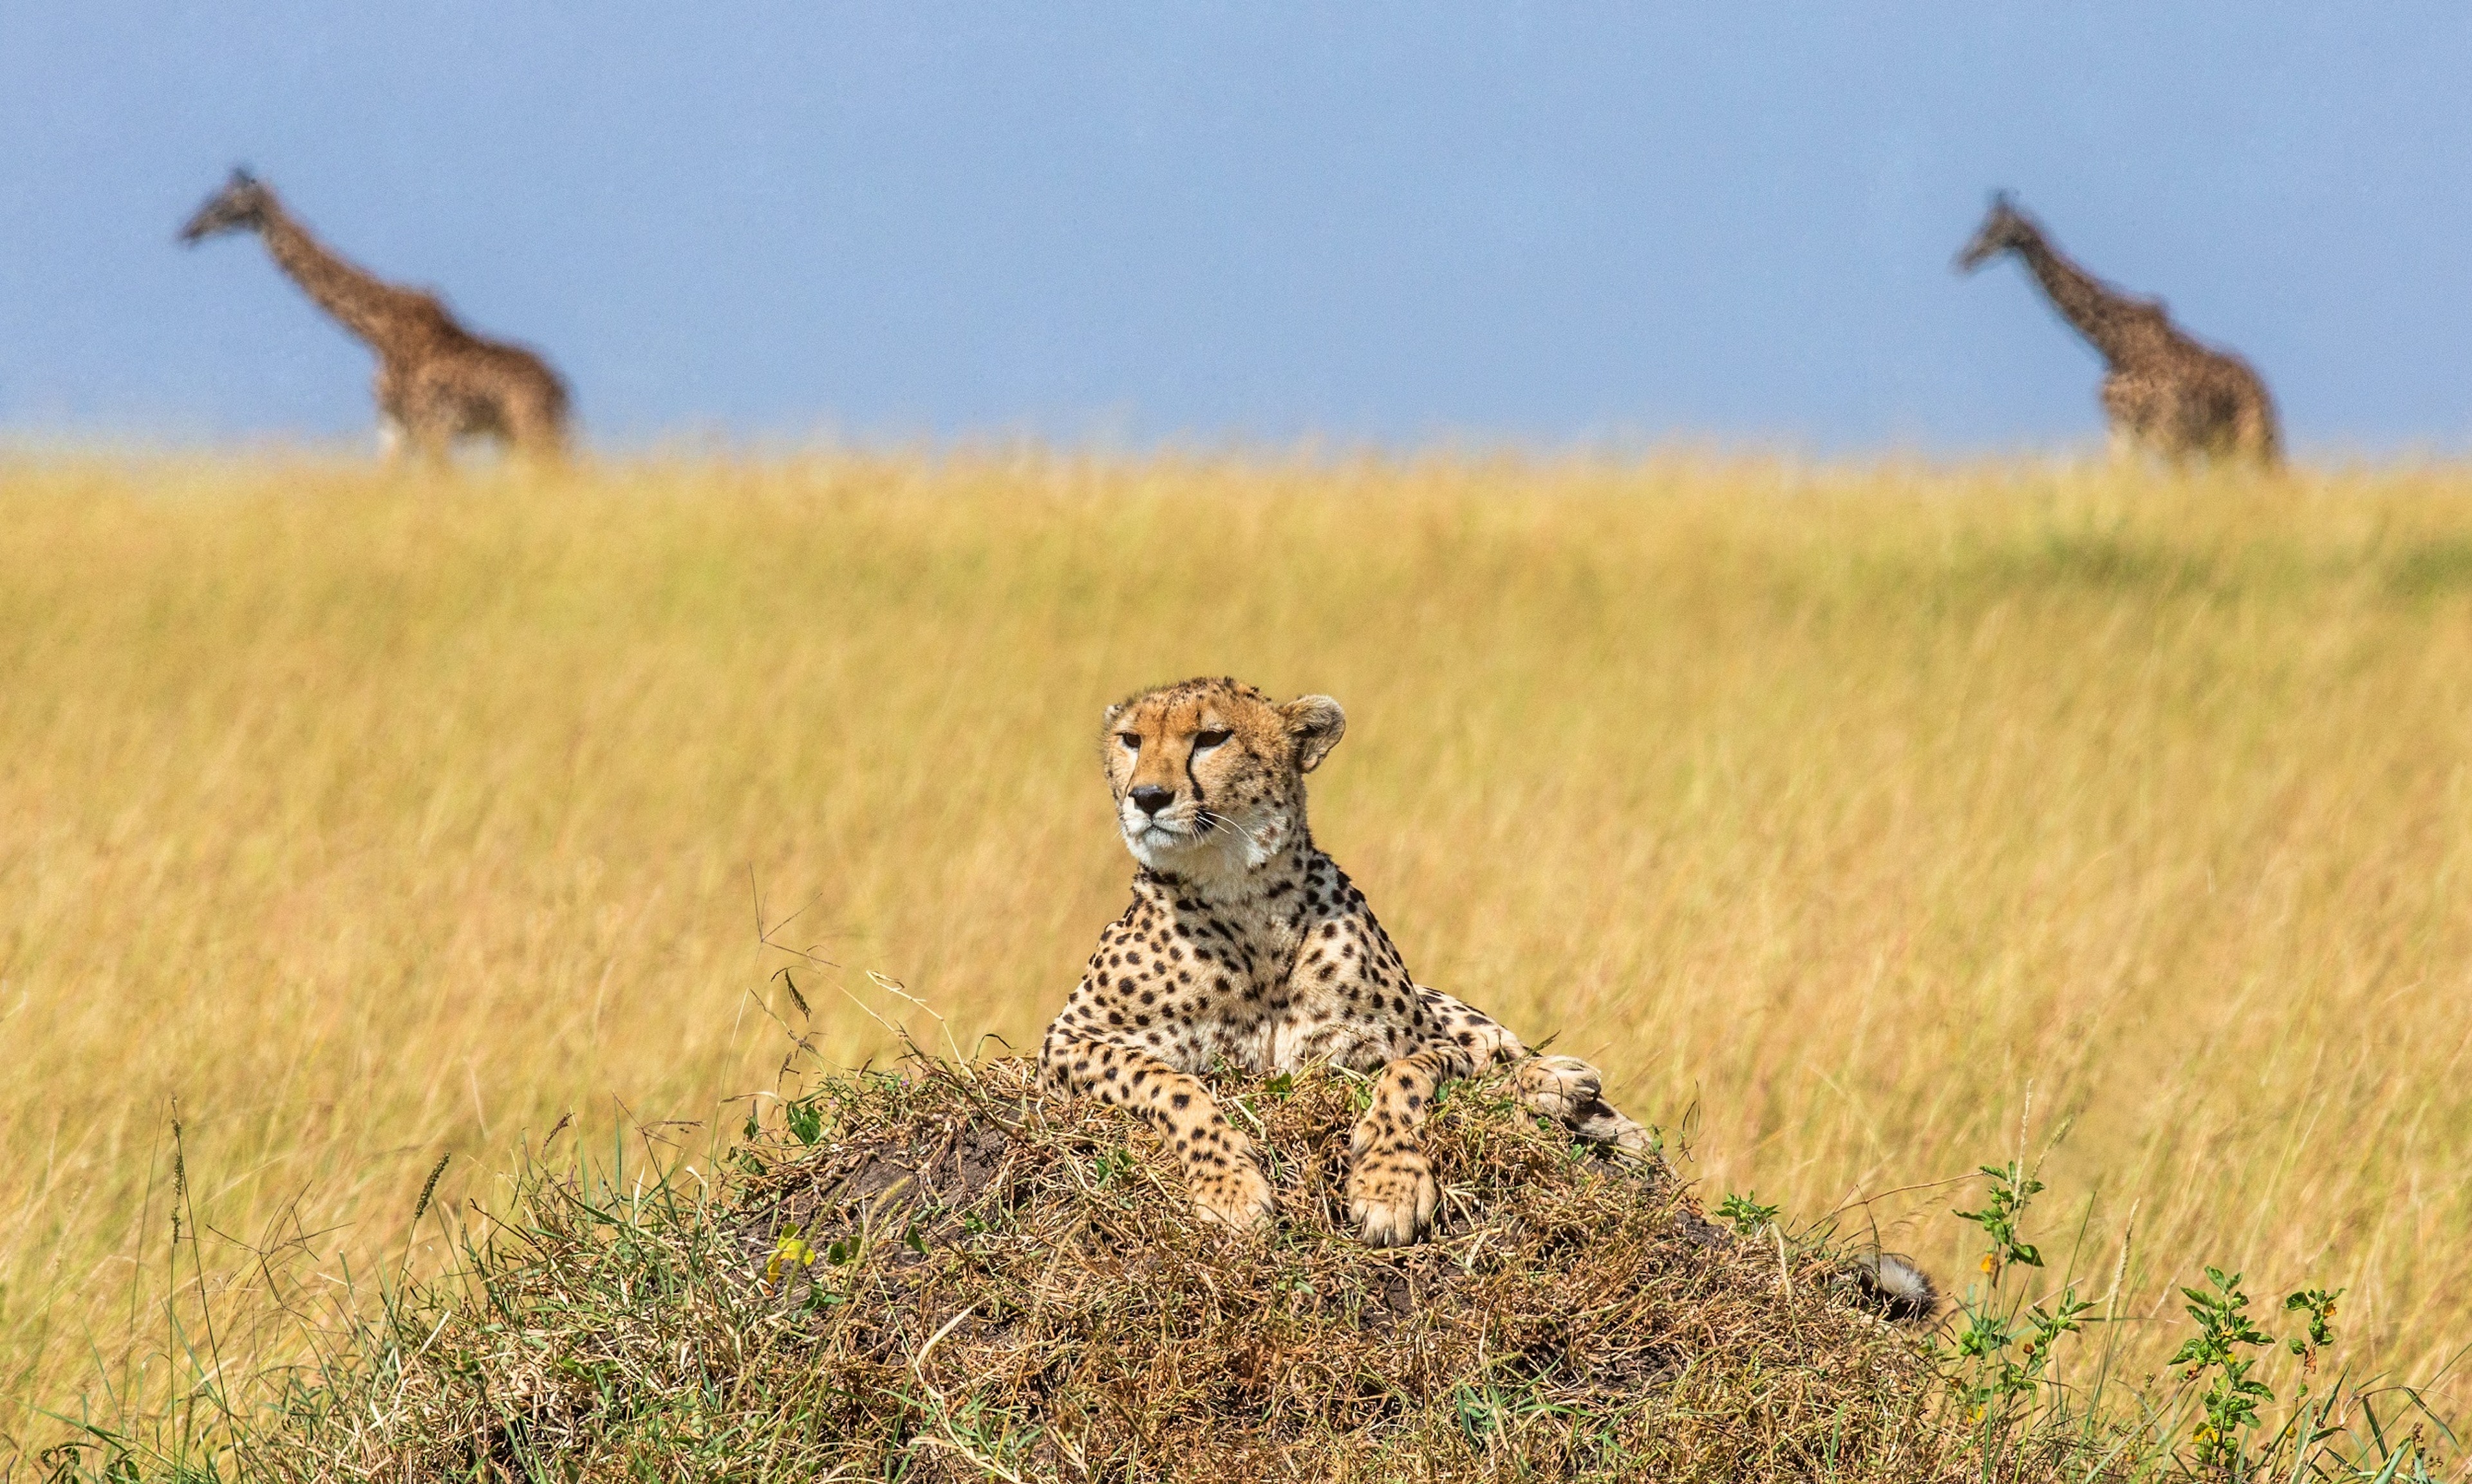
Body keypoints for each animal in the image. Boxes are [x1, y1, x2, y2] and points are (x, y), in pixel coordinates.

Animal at [180, 167, 571, 459]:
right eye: (210, 198)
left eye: (224, 203)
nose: (186, 231)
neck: (376, 333)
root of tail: (563, 391)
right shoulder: (392, 427)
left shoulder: (431, 427)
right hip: (517, 437)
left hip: (531, 430)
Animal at [1033, 676, 1651, 1244]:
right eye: (1131, 740)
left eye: (1211, 738)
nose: (1148, 796)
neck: (1241, 897)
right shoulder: (1066, 1043)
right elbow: (1171, 1083)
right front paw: (1230, 1189)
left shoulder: (1423, 1043)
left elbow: (1404, 1080)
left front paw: (1389, 1187)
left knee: (1498, 1068)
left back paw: (1568, 1087)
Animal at [1958, 191, 2284, 467]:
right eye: (1982, 225)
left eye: (1993, 228)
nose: (1962, 260)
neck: (2114, 346)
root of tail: (2264, 389)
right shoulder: (2120, 428)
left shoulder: (2165, 429)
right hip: (2221, 446)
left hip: (2253, 435)